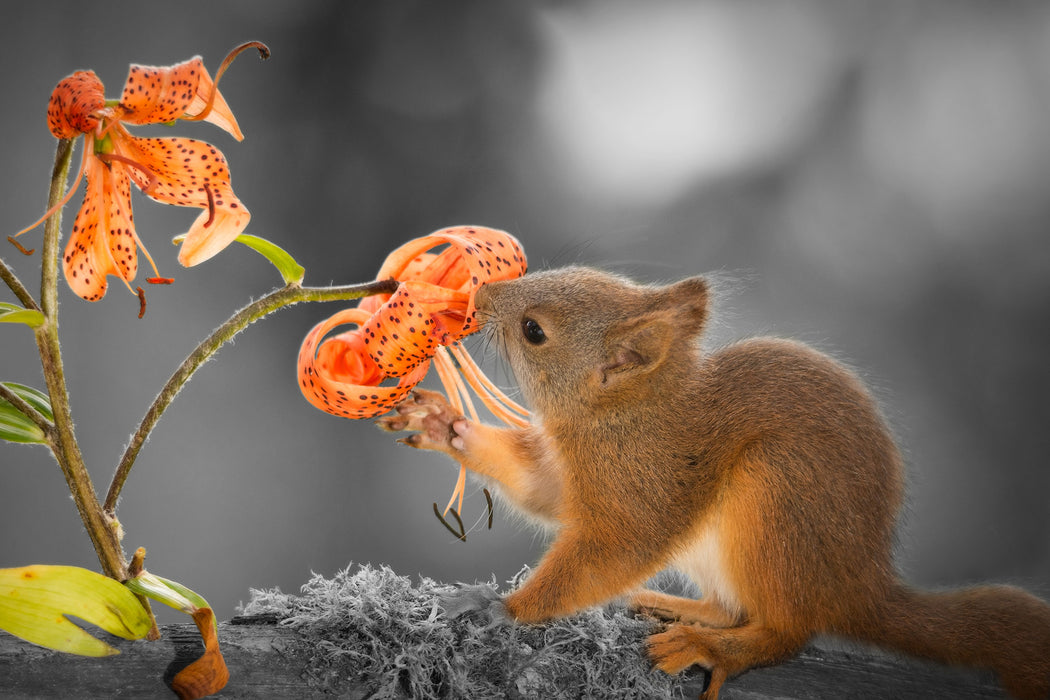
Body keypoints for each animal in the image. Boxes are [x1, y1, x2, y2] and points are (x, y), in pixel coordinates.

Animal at [377, 265, 1050, 696]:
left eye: (534, 331)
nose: (480, 294)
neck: (623, 415)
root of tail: (858, 586)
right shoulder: (572, 476)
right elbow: (543, 491)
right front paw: (444, 424)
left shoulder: (645, 486)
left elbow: (611, 552)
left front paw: (501, 608)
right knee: (731, 607)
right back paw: (672, 606)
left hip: (777, 498)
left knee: (786, 631)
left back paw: (714, 648)